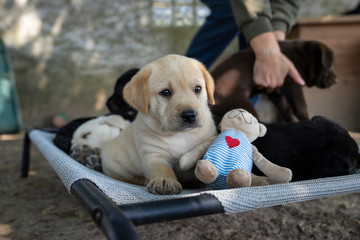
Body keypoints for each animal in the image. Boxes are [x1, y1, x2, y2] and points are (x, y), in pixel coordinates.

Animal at [100, 54, 217, 195]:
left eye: (197, 89)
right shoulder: (153, 155)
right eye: (165, 92)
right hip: (114, 165)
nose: (189, 115)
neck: (180, 135)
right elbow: (162, 168)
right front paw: (165, 180)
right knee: (130, 178)